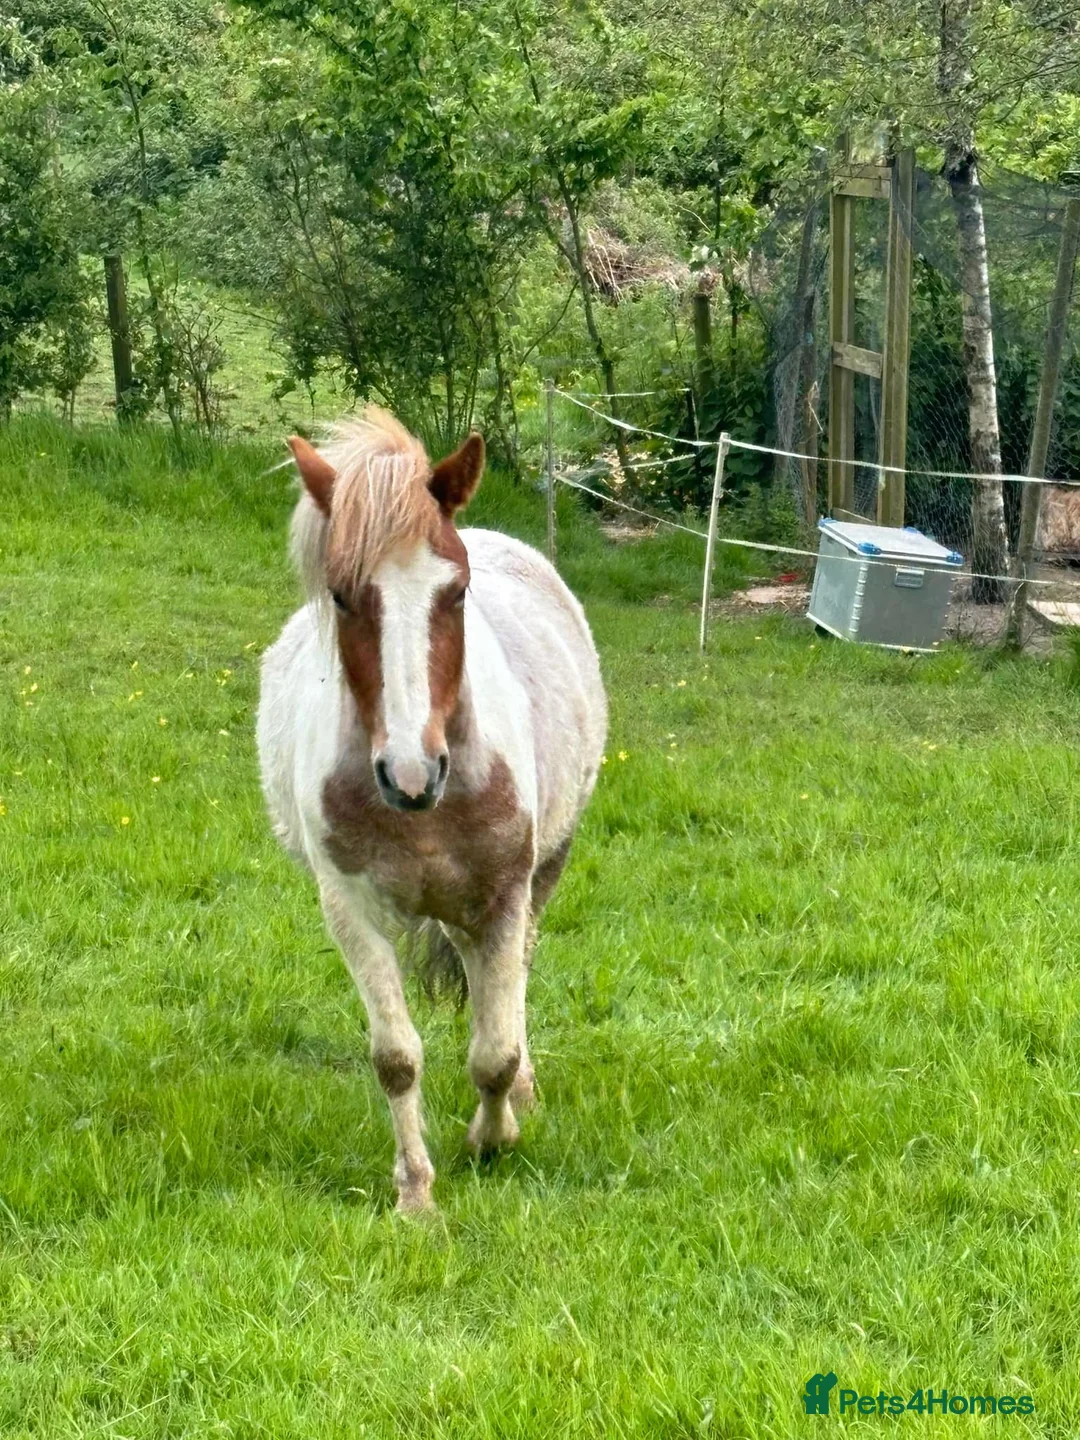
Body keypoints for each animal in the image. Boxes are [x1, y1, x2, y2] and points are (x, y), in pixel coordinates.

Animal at [257, 408, 607, 1212]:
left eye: (457, 591)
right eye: (343, 594)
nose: (411, 774)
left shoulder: (505, 895)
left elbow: (495, 1049)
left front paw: (493, 1139)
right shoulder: (350, 909)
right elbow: (396, 1057)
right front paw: (415, 1192)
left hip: (541, 874)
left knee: (512, 985)